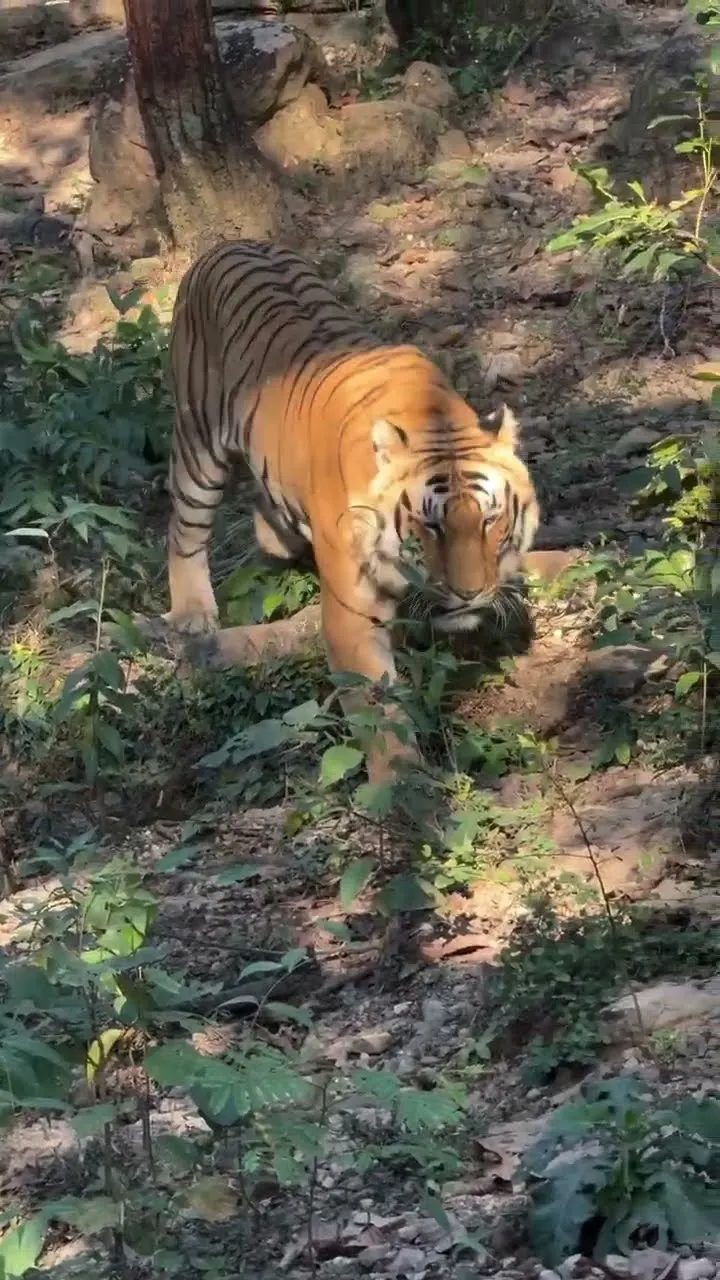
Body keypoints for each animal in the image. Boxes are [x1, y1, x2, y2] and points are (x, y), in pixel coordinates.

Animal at [163, 239, 540, 781]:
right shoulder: (352, 615)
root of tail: (230, 243)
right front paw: (402, 788)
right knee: (183, 529)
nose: (469, 594)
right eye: (430, 525)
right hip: (198, 441)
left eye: (490, 519)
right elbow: (379, 710)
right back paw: (193, 614)